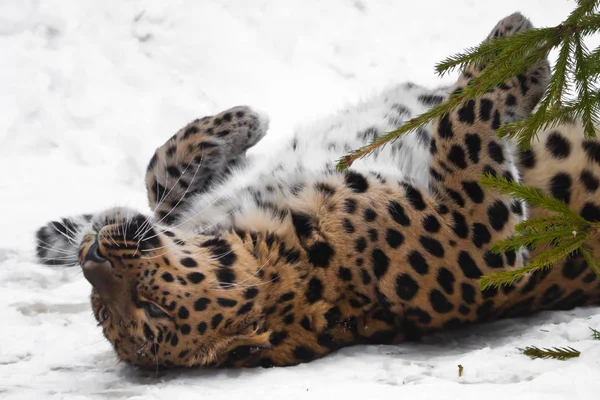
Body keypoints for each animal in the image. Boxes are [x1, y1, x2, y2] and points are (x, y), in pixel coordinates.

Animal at [35, 11, 596, 368]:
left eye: (102, 309)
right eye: (144, 308)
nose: (91, 259)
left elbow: (161, 177)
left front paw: (241, 121)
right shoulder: (484, 252)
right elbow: (459, 124)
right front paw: (517, 48)